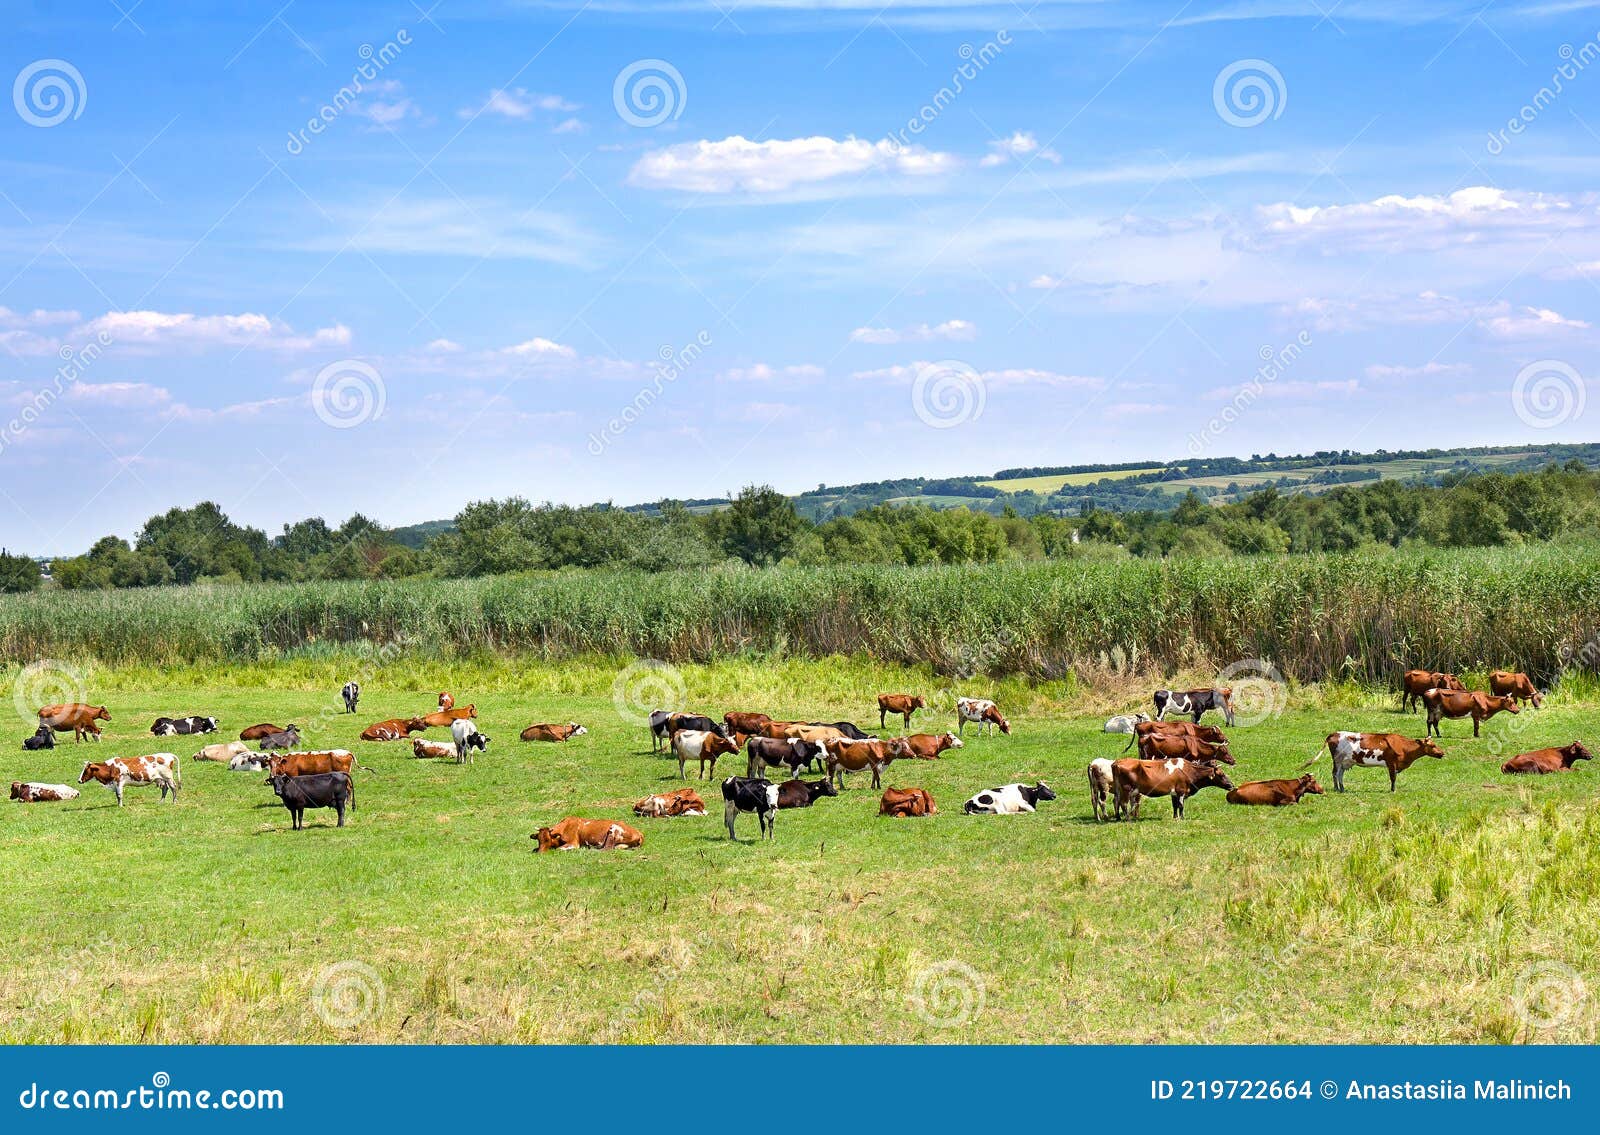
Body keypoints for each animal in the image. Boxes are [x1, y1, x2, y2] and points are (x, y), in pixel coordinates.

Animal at [1313, 732, 1444, 793]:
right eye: (1433, 745)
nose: (1442, 753)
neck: (1404, 747)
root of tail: (1334, 733)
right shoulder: (1392, 763)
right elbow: (1393, 778)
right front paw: (1393, 790)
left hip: (1345, 762)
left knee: (1340, 774)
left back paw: (1342, 788)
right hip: (1337, 760)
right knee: (1335, 773)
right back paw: (1336, 788)